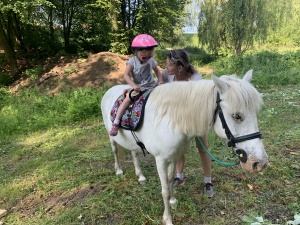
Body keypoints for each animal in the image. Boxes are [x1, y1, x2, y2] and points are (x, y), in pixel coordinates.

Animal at [101, 70, 270, 225]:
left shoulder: (174, 156)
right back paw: (119, 170)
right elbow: (164, 189)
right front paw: (167, 219)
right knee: (115, 151)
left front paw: (173, 201)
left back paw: (140, 176)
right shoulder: (161, 160)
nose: (259, 163)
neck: (170, 119)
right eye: (237, 116)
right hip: (111, 137)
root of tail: (110, 90)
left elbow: (170, 181)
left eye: (255, 113)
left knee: (134, 154)